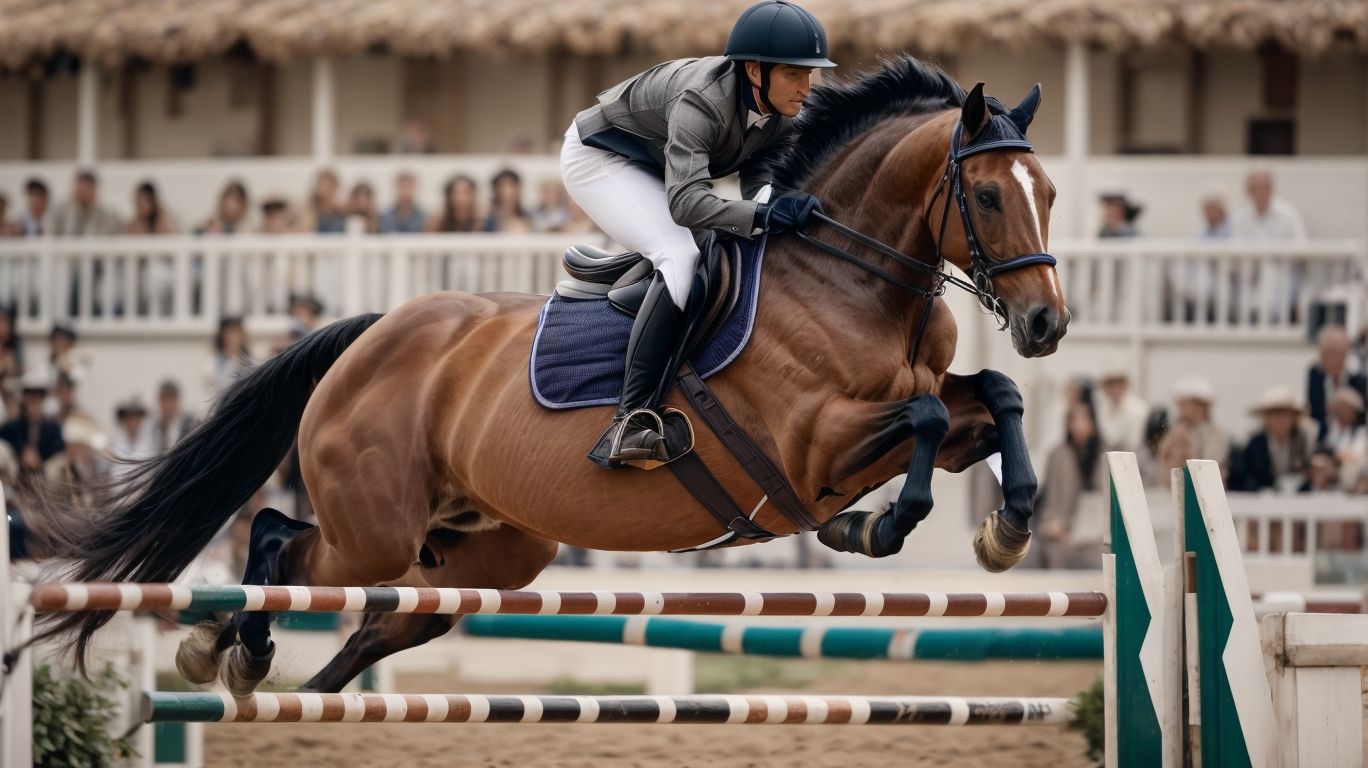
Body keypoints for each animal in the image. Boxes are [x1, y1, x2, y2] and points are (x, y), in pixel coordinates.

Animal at [36, 56, 1066, 694]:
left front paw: (1008, 528)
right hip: (376, 531)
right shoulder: (816, 450)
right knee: (281, 543)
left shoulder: (904, 415)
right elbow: (925, 422)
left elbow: (993, 400)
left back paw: (264, 674)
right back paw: (227, 651)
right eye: (984, 195)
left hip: (479, 557)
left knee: (369, 626)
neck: (852, 279)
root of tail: (374, 336)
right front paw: (877, 524)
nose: (1047, 322)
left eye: (1050, 192)